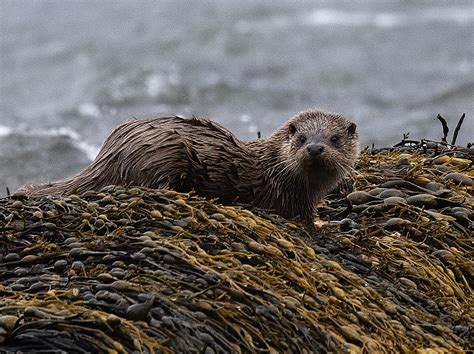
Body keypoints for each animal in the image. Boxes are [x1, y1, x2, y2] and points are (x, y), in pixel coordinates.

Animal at [20, 110, 358, 221]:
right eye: (301, 138)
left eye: (334, 138)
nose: (315, 147)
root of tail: (107, 153)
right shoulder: (290, 199)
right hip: (162, 154)